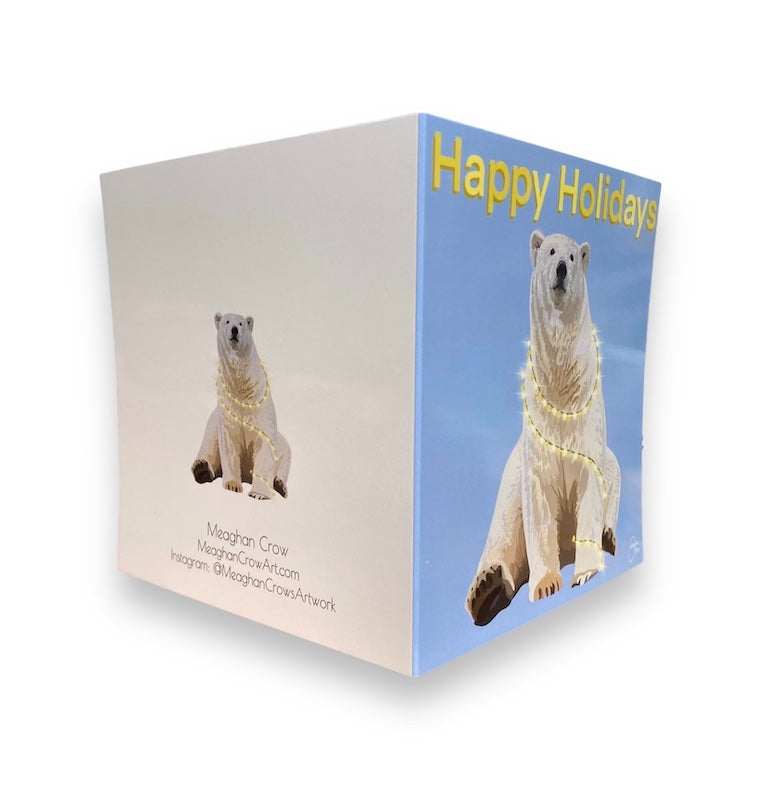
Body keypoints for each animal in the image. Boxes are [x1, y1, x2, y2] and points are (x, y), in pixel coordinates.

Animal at [191, 312, 291, 501]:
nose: (234, 330)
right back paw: (201, 468)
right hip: (213, 422)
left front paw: (259, 494)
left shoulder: (260, 411)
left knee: (285, 457)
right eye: (227, 321)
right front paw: (233, 485)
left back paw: (280, 485)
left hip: (283, 445)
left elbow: (264, 445)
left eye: (241, 323)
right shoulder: (227, 409)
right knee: (209, 442)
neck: (242, 389)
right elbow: (229, 441)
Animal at [466, 231, 620, 626]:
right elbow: (537, 503)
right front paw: (546, 584)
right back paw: (486, 589)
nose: (562, 267)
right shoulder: (535, 445)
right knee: (504, 527)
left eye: (573, 257)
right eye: (551, 251)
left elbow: (592, 483)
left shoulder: (588, 434)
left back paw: (609, 537)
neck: (561, 389)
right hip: (510, 479)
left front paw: (586, 572)